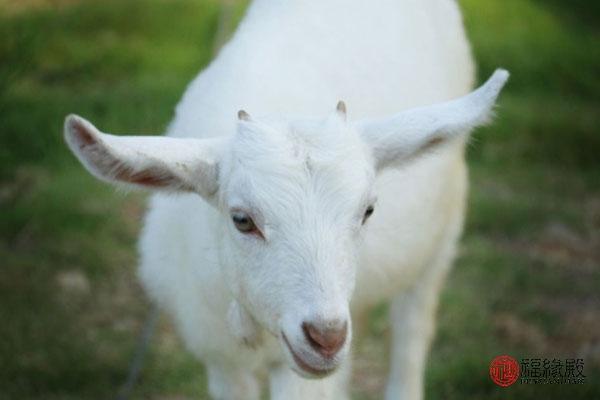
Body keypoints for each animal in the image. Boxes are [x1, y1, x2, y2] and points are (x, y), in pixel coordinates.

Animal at [64, 1, 506, 398]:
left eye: (368, 211)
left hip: (442, 237)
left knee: (412, 332)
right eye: (242, 219)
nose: (326, 337)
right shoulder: (220, 358)